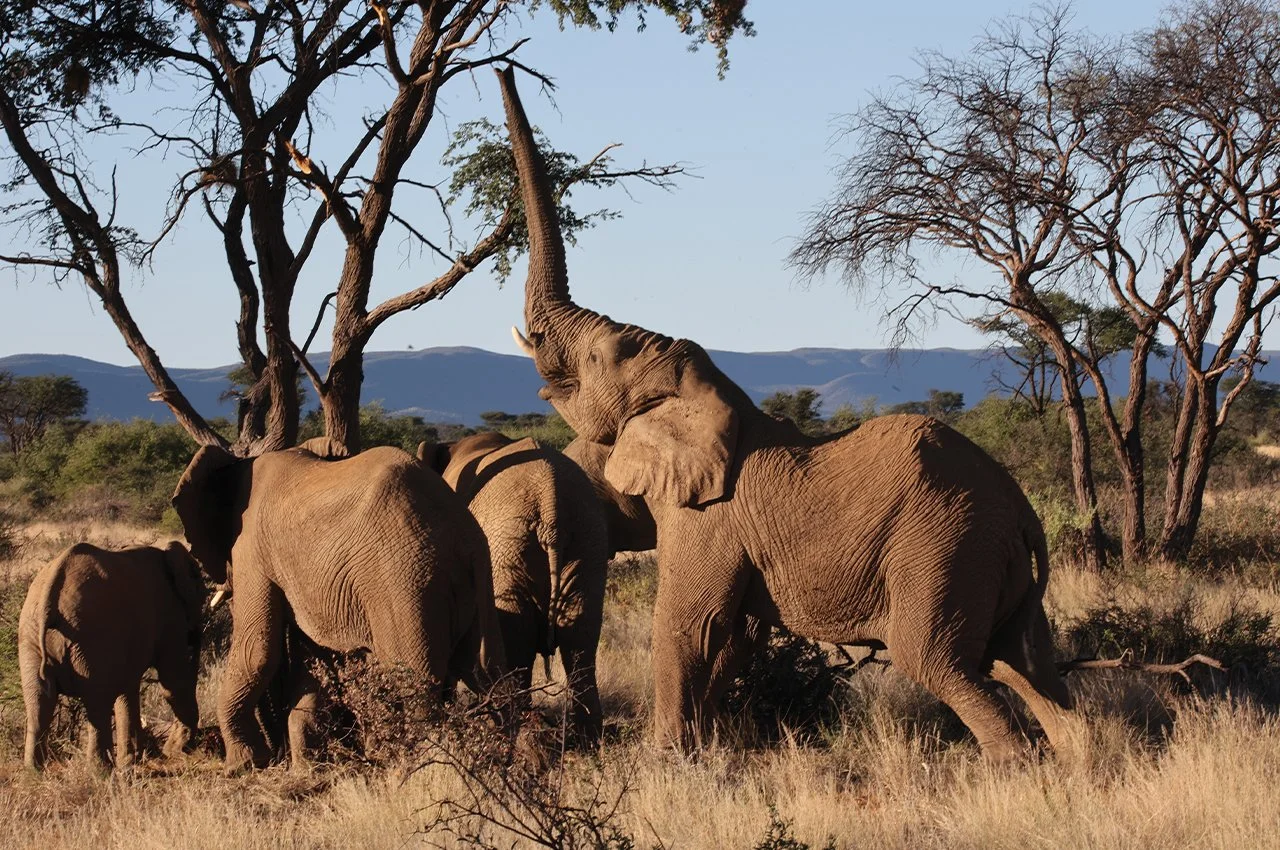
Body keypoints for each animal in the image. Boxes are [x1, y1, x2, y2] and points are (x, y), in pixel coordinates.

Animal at [18, 541, 206, 770]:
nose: (188, 748)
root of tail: (50, 596)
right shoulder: (170, 613)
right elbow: (173, 680)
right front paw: (174, 751)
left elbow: (128, 686)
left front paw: (132, 761)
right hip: (92, 637)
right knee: (97, 700)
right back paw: (100, 771)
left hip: (30, 637)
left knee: (38, 700)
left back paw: (33, 771)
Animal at [171, 442, 505, 771]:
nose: (275, 756)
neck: (240, 465)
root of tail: (466, 536)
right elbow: (316, 658)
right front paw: (306, 763)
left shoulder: (252, 550)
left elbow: (256, 650)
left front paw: (243, 765)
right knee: (483, 675)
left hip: (406, 581)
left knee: (416, 688)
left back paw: (415, 765)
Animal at [420, 432, 610, 744]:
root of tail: (550, 501)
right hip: (588, 538)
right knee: (580, 636)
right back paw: (588, 742)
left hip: (510, 544)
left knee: (518, 640)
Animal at [494, 66, 1077, 761]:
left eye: (595, 356)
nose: (502, 68)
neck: (711, 396)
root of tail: (1022, 512)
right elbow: (734, 637)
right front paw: (708, 750)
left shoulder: (709, 519)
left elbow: (688, 624)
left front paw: (663, 759)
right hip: (990, 558)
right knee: (1032, 666)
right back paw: (1085, 757)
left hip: (944, 548)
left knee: (942, 663)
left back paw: (1017, 769)